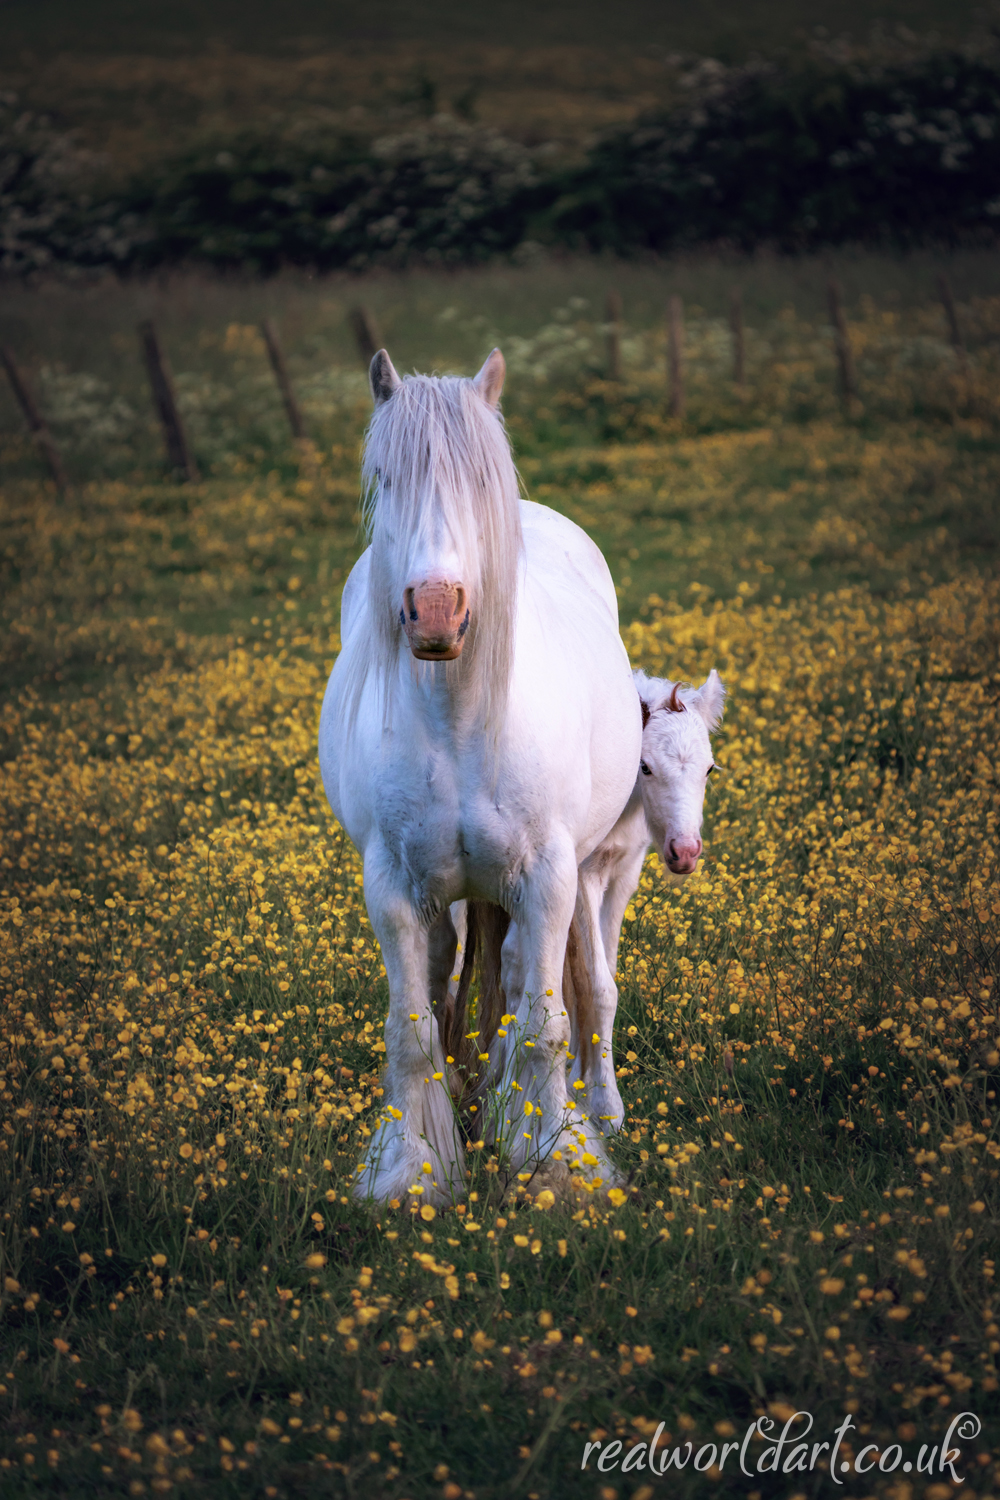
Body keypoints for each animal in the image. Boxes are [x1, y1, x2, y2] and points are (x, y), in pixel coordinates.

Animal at [316, 351, 638, 1206]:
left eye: (480, 482)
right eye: (387, 476)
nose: (436, 610)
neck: (457, 717)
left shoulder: (550, 879)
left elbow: (543, 1027)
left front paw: (556, 1163)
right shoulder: (393, 887)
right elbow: (411, 1030)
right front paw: (409, 1170)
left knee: (540, 981)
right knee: (444, 976)